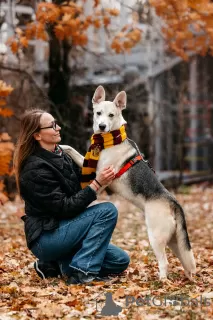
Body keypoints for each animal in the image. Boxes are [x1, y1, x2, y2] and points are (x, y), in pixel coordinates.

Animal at [60, 85, 196, 280]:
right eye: (98, 113)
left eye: (111, 115)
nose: (102, 126)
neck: (109, 141)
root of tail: (173, 202)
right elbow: (72, 149)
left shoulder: (100, 177)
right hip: (174, 241)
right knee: (186, 262)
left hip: (155, 237)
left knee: (165, 263)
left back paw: (161, 281)